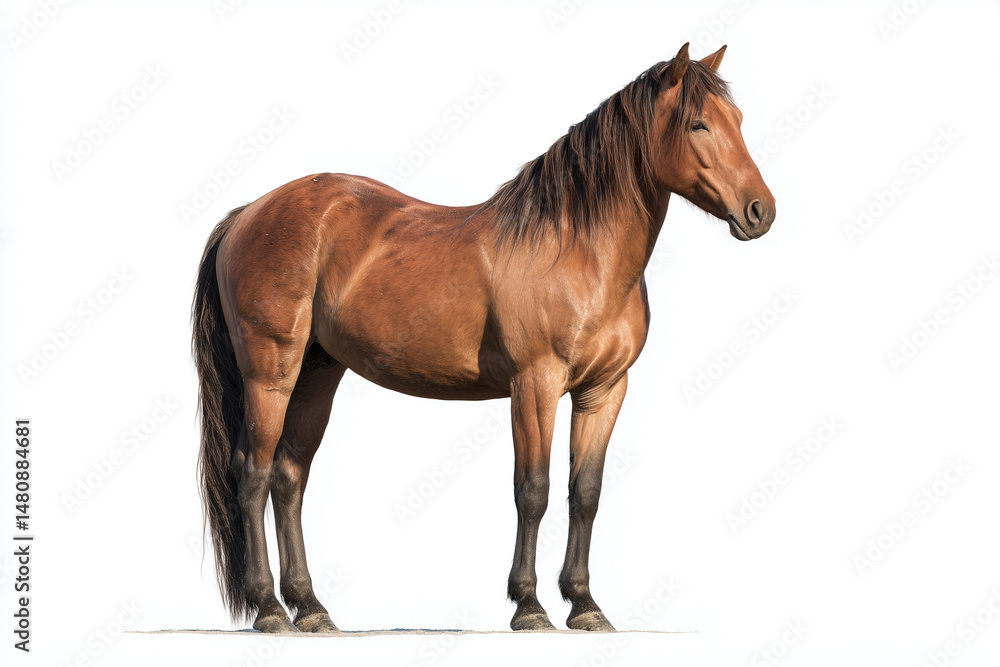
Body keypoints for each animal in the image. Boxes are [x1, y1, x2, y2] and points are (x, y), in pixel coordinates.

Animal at [193, 42, 775, 634]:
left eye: (738, 119)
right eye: (699, 123)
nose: (760, 211)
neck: (577, 250)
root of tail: (248, 214)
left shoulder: (604, 390)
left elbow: (584, 493)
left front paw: (585, 605)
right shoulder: (534, 385)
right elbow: (533, 490)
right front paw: (529, 606)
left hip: (317, 374)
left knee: (289, 476)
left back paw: (310, 609)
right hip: (271, 374)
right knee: (253, 472)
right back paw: (269, 608)